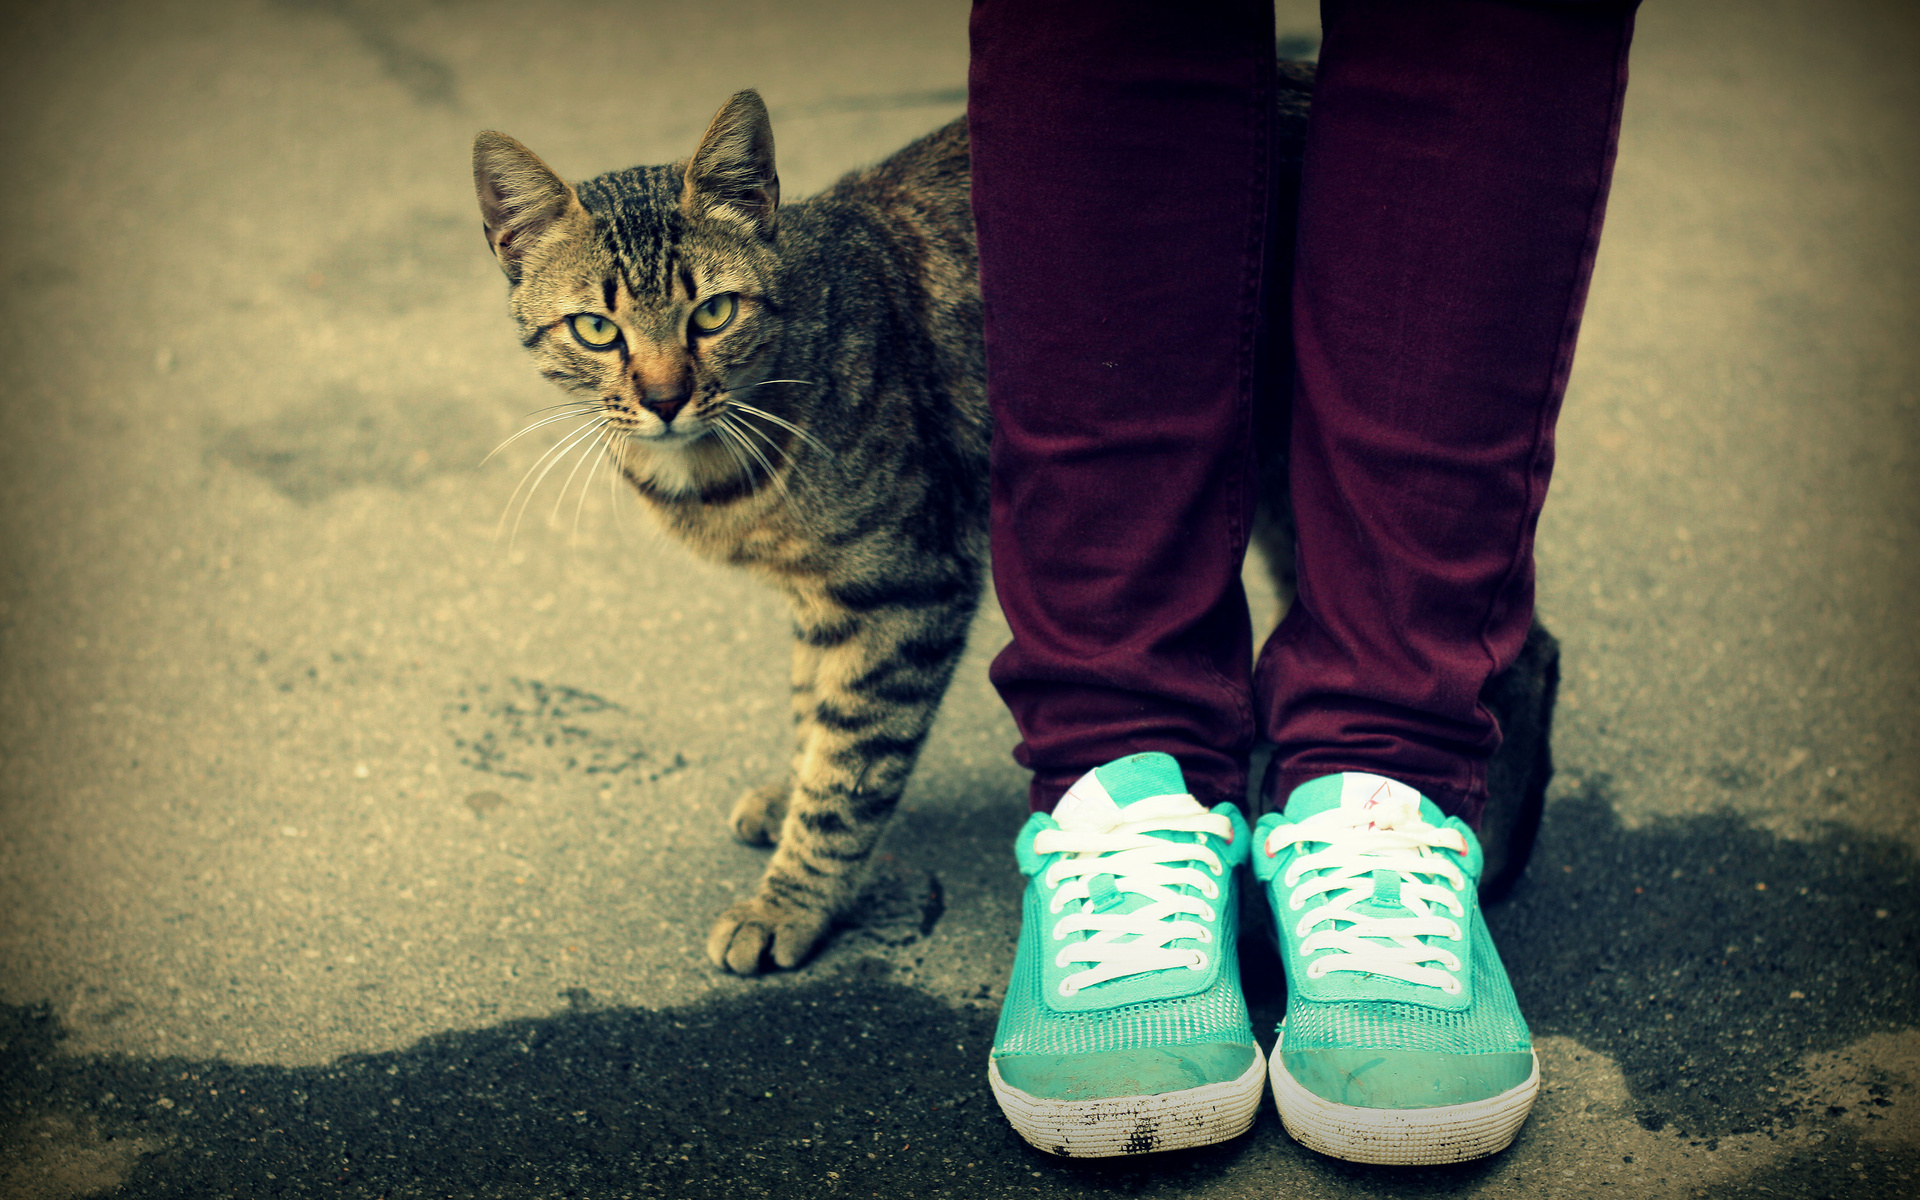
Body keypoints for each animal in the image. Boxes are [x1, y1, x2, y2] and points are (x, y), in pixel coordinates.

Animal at [468, 72, 1559, 975]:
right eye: (597, 329)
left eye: (712, 314)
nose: (661, 397)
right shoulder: (828, 591)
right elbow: (813, 706)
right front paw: (790, 792)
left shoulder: (904, 585)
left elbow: (854, 762)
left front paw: (792, 896)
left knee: (1515, 653)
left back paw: (1493, 854)